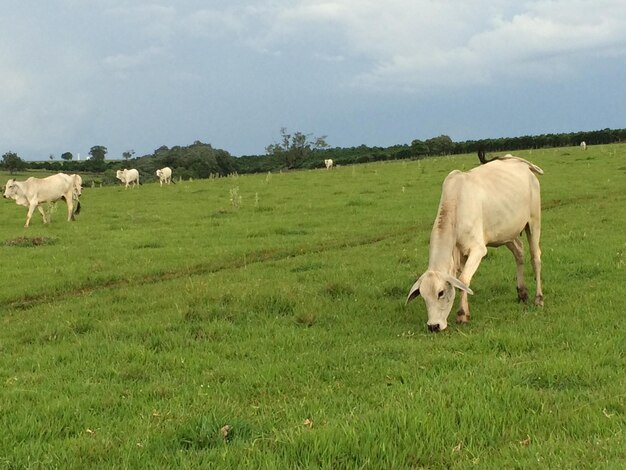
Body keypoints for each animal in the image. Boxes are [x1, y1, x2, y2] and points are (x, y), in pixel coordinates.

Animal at [404, 152, 540, 332]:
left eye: (441, 293)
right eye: (423, 297)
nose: (433, 326)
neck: (456, 206)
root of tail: (517, 161)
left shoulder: (478, 249)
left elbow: (463, 280)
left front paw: (462, 315)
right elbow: (462, 281)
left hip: (534, 221)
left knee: (535, 257)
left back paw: (539, 298)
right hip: (505, 232)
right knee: (519, 252)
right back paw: (522, 293)